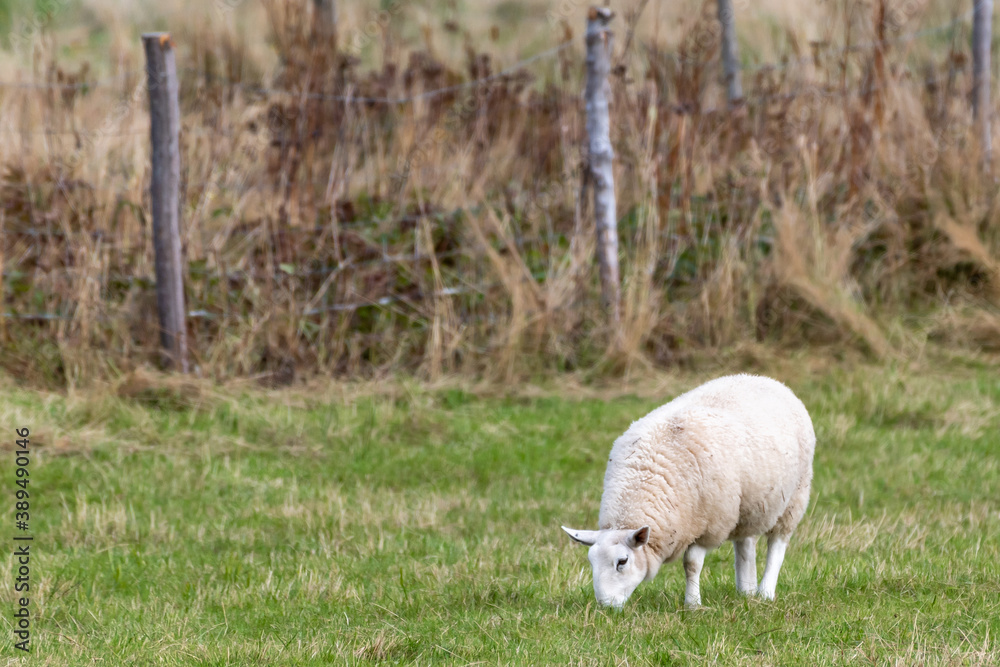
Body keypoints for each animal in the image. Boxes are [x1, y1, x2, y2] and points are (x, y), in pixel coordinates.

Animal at [561, 374, 815, 610]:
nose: (606, 606)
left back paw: (765, 592)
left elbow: (691, 564)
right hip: (747, 503)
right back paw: (746, 590)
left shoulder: (709, 524)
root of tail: (764, 379)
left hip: (795, 496)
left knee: (777, 544)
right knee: (745, 543)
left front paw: (692, 604)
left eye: (622, 562)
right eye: (591, 562)